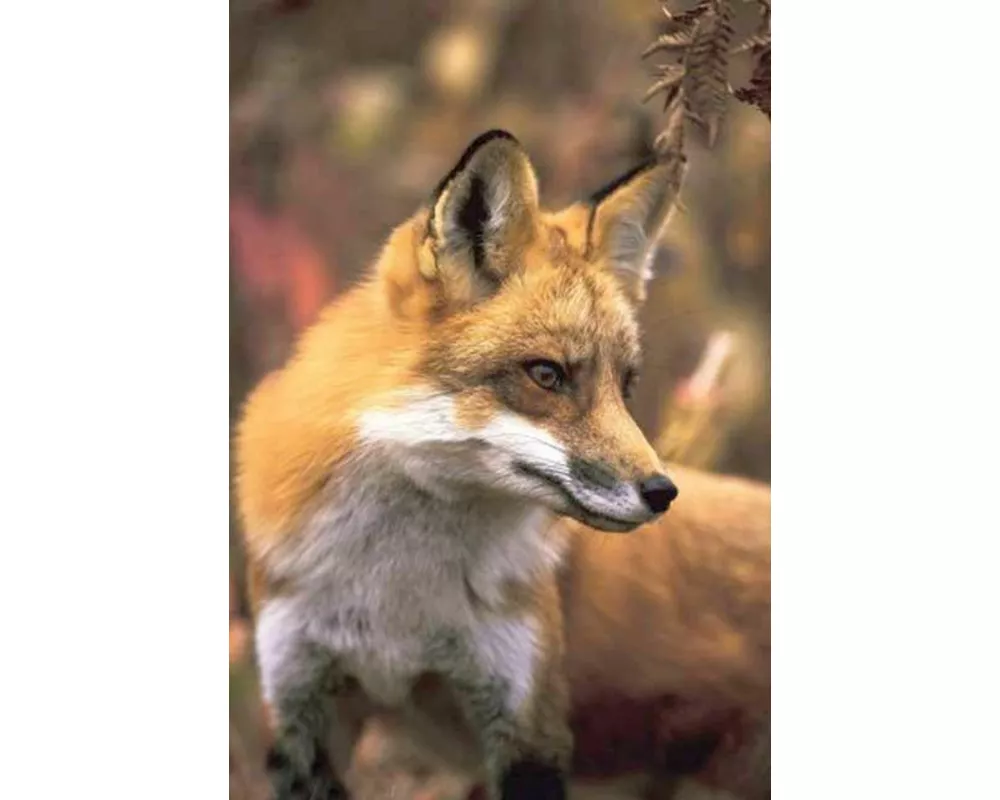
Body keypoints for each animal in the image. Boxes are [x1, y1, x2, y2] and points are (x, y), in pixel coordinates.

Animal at [235, 128, 688, 800]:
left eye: (625, 386)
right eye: (547, 375)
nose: (662, 492)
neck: (394, 598)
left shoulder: (526, 713)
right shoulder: (300, 704)